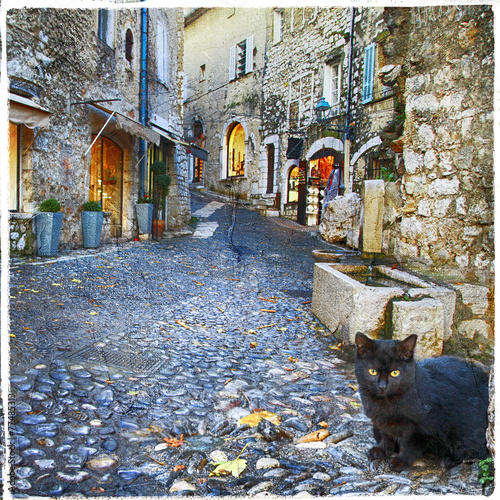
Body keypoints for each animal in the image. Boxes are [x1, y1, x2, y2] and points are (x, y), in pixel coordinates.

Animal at [354, 332, 490, 468]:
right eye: (372, 371)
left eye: (395, 373)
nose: (382, 386)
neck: (386, 404)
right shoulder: (380, 421)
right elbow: (386, 437)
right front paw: (382, 450)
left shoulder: (421, 427)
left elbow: (410, 445)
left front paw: (401, 461)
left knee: (475, 451)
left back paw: (450, 460)